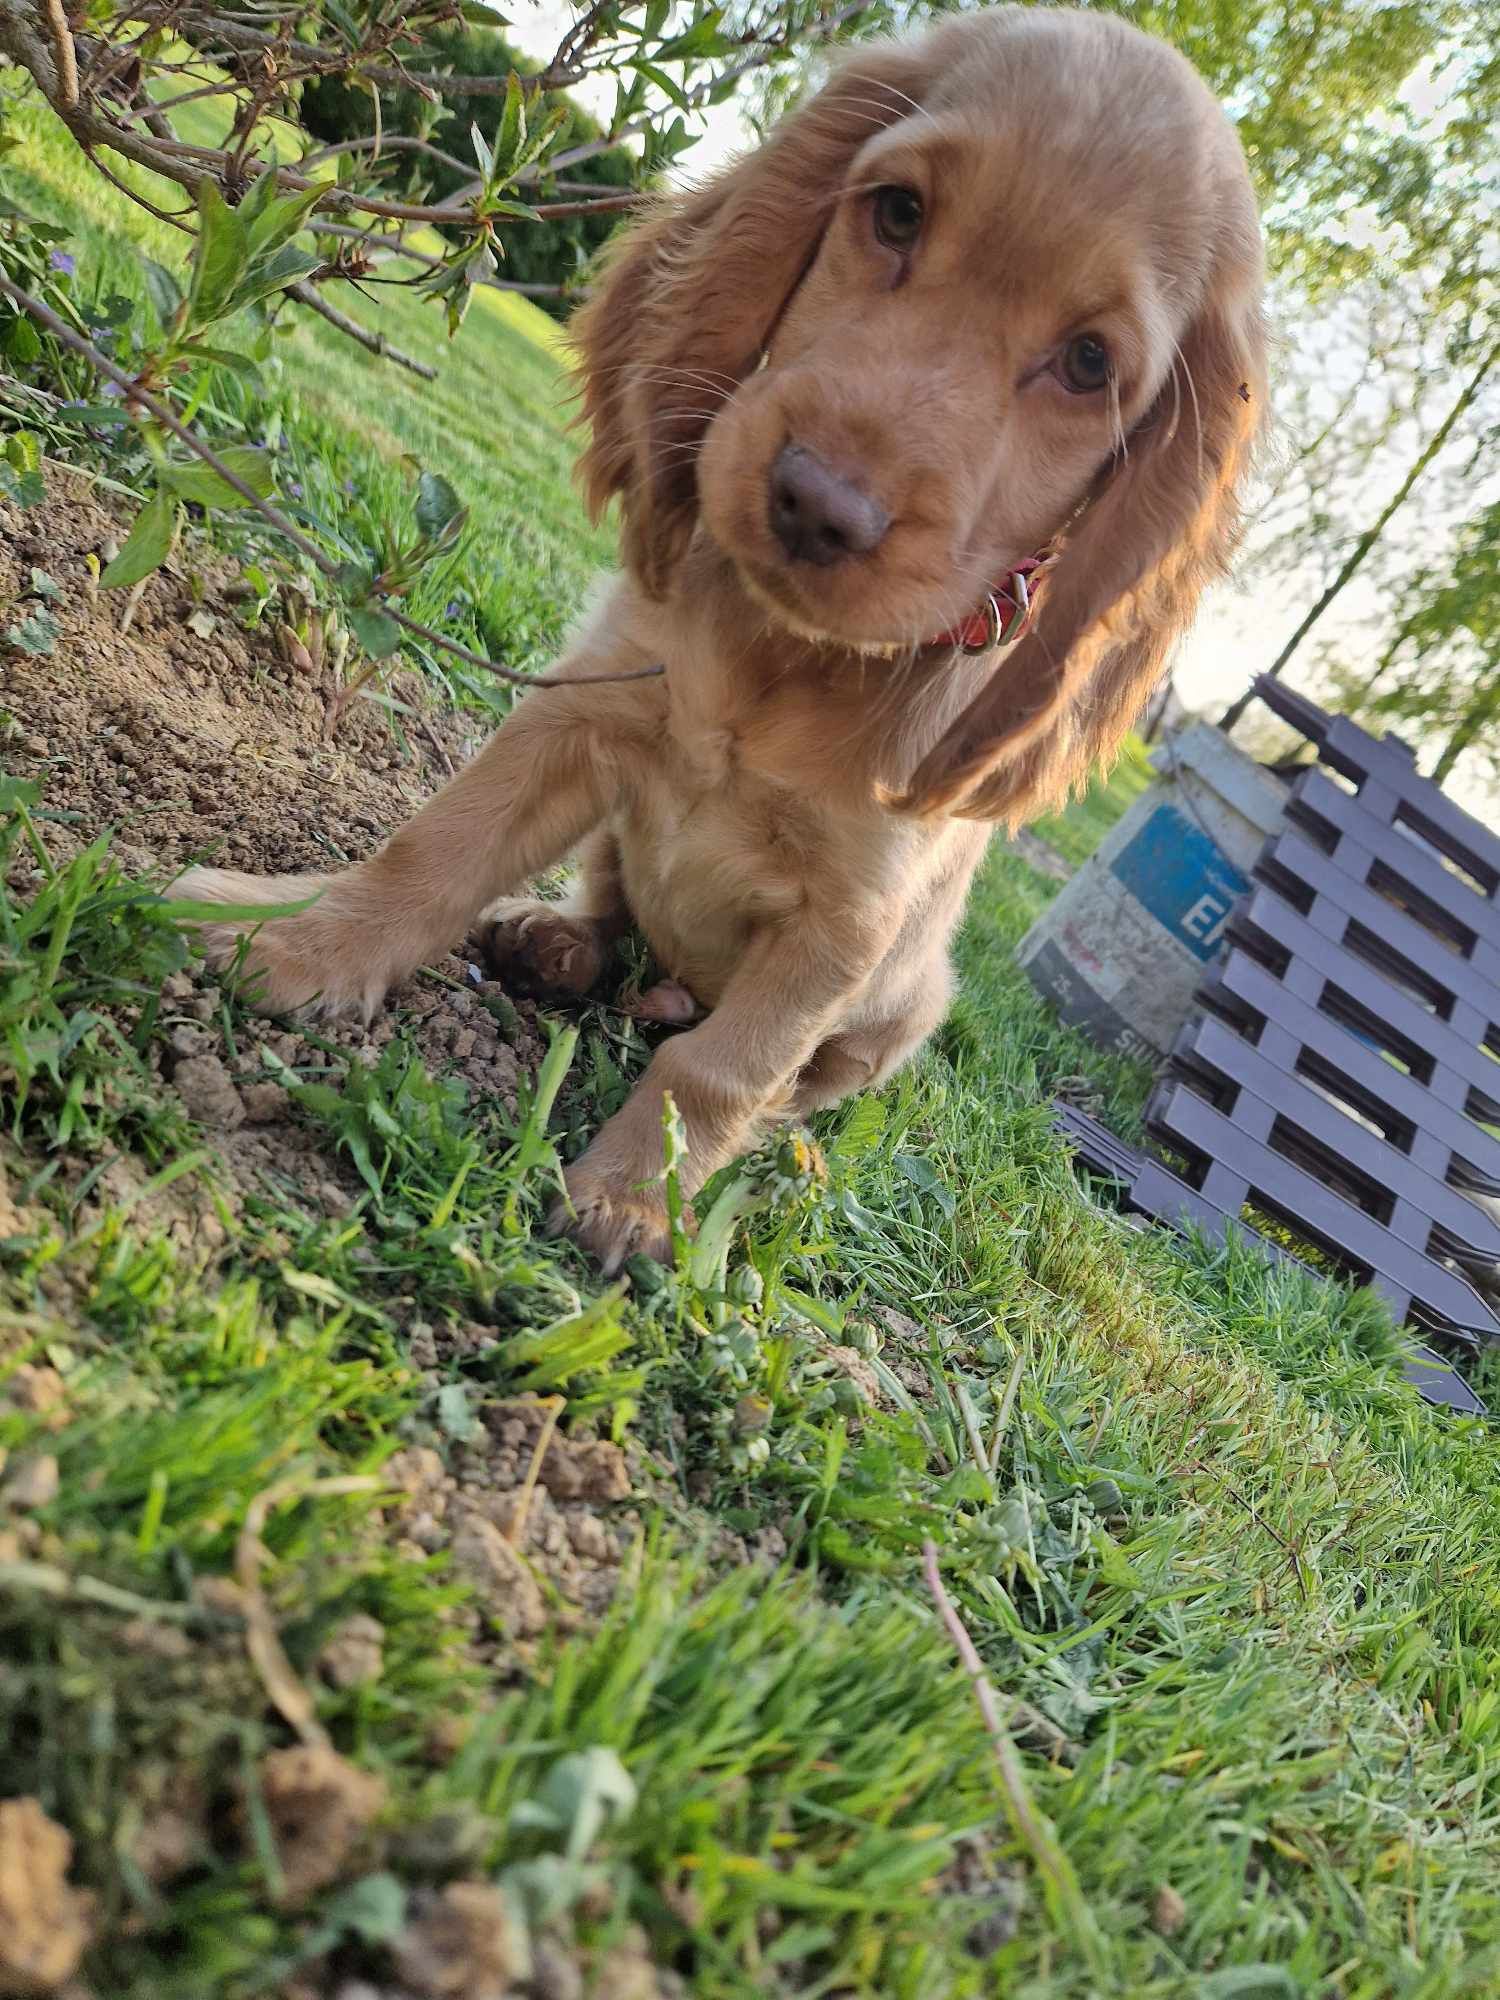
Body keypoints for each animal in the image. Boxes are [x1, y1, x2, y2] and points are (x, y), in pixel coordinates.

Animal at [182, 3, 1272, 1264]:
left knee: (785, 1069)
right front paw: (294, 935)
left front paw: (639, 1195)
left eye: (1091, 364)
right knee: (610, 914)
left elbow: (722, 1068)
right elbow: (432, 850)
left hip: (907, 1006)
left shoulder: (844, 927)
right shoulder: (586, 707)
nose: (815, 502)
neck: (785, 660)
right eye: (896, 211)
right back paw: (552, 941)